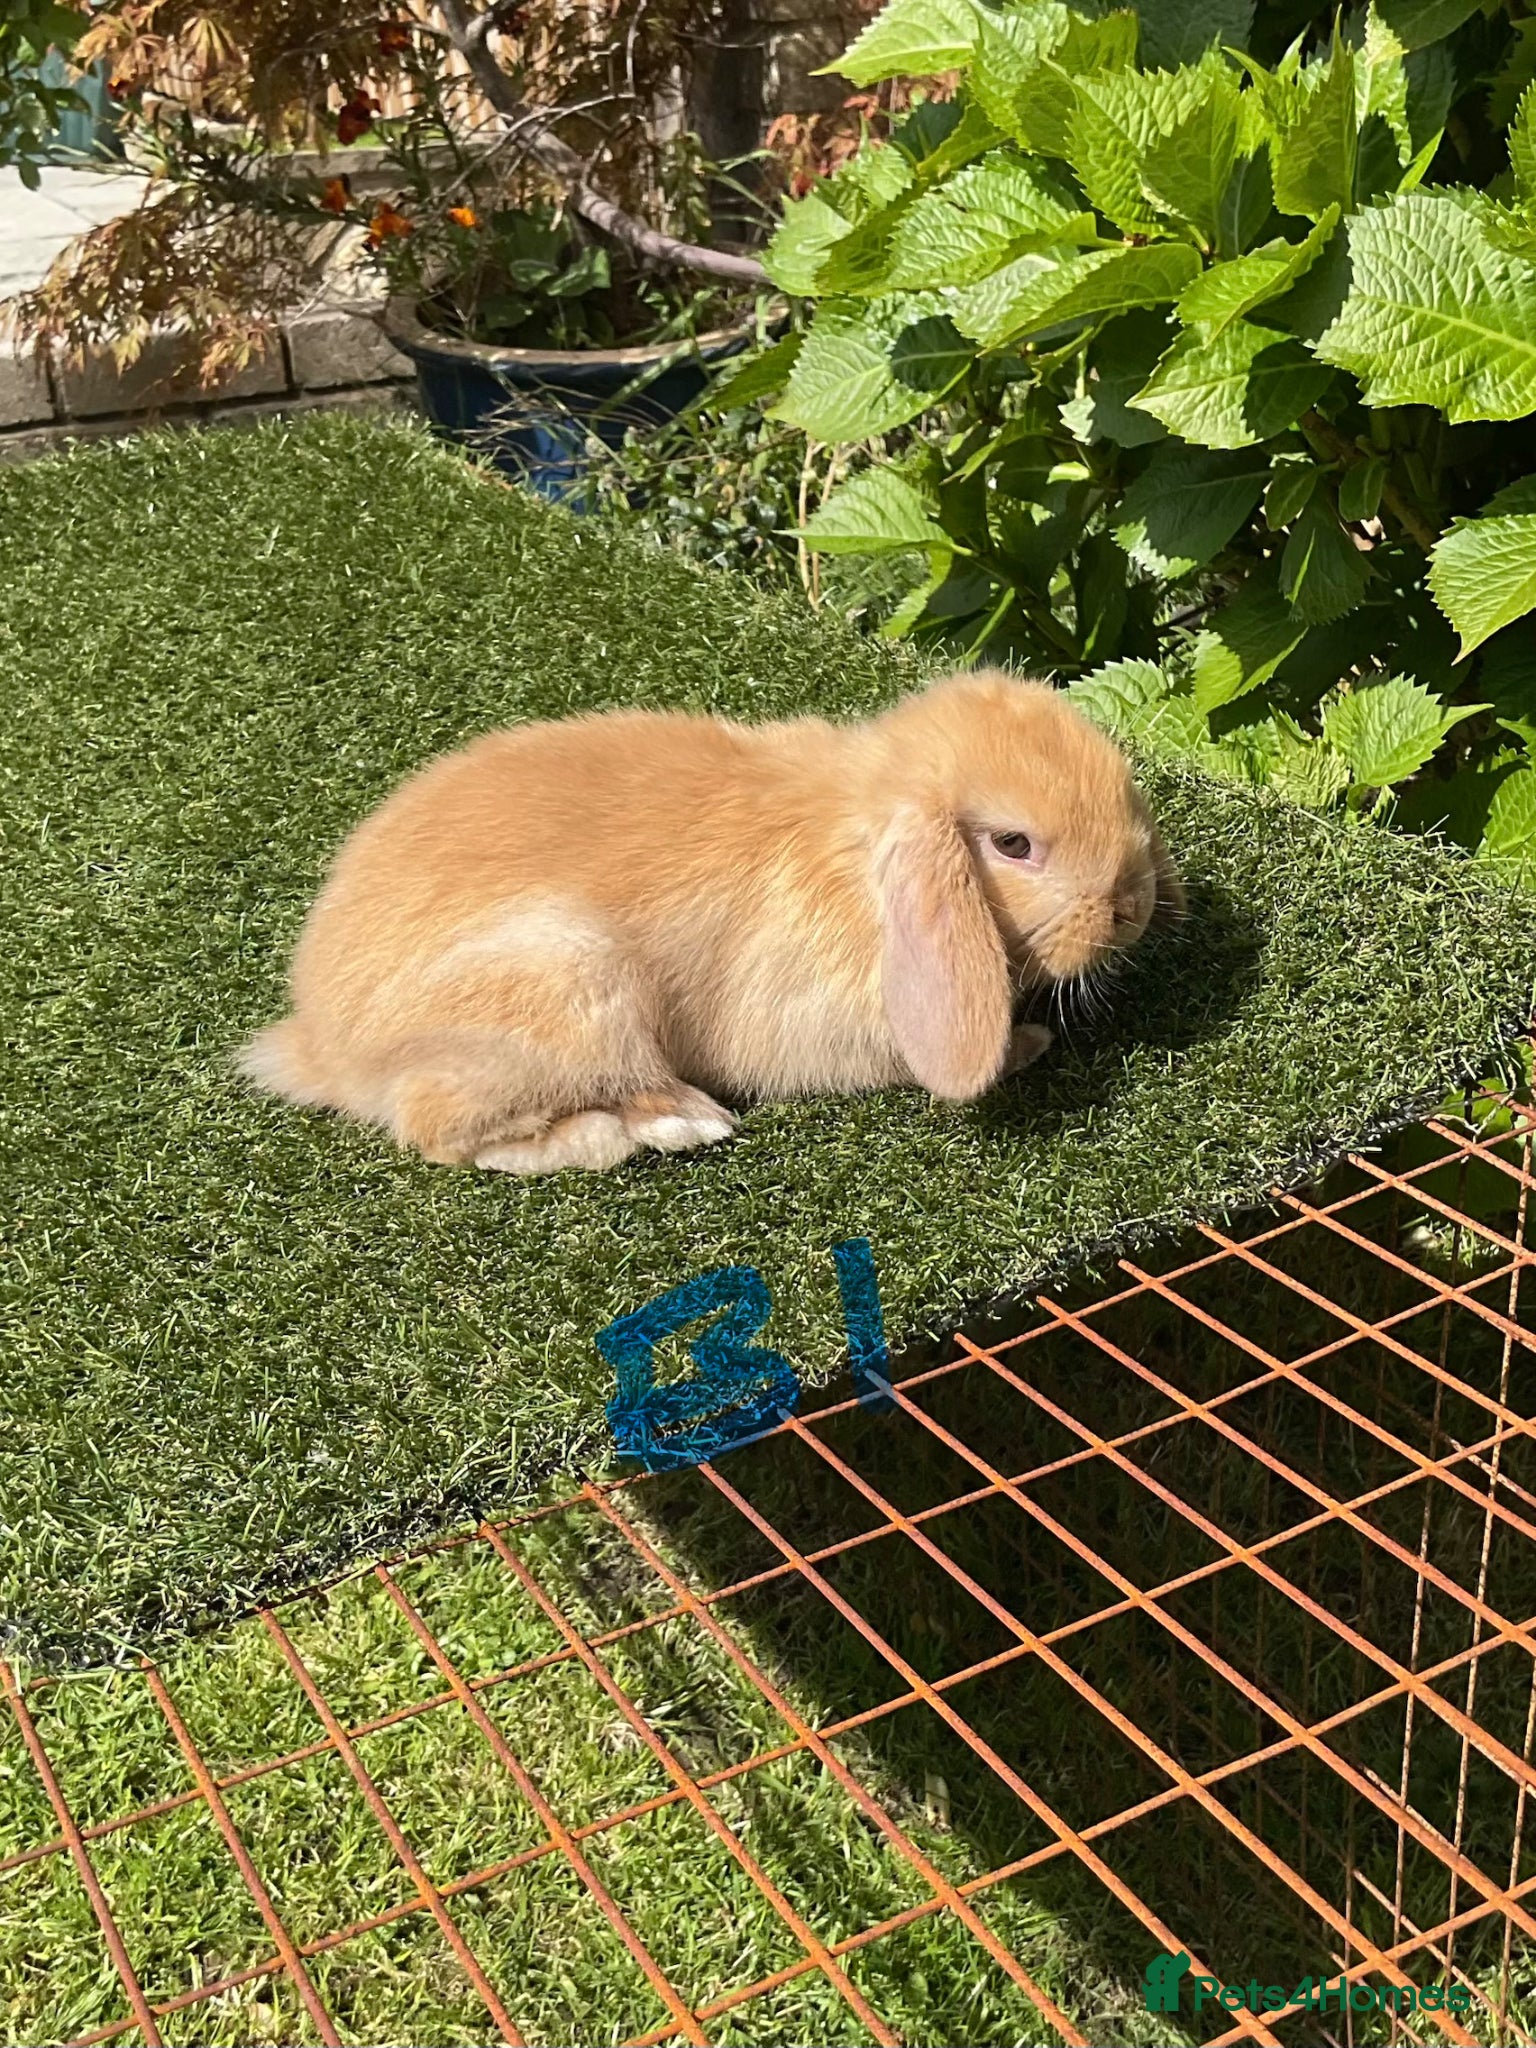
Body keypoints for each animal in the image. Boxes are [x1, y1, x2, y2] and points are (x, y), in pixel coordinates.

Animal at [239, 669, 1184, 1174]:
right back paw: (662, 1124)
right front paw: (1026, 1044)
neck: (856, 849)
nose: (1134, 907)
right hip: (567, 985)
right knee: (442, 1128)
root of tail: (322, 1047)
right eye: (1013, 844)